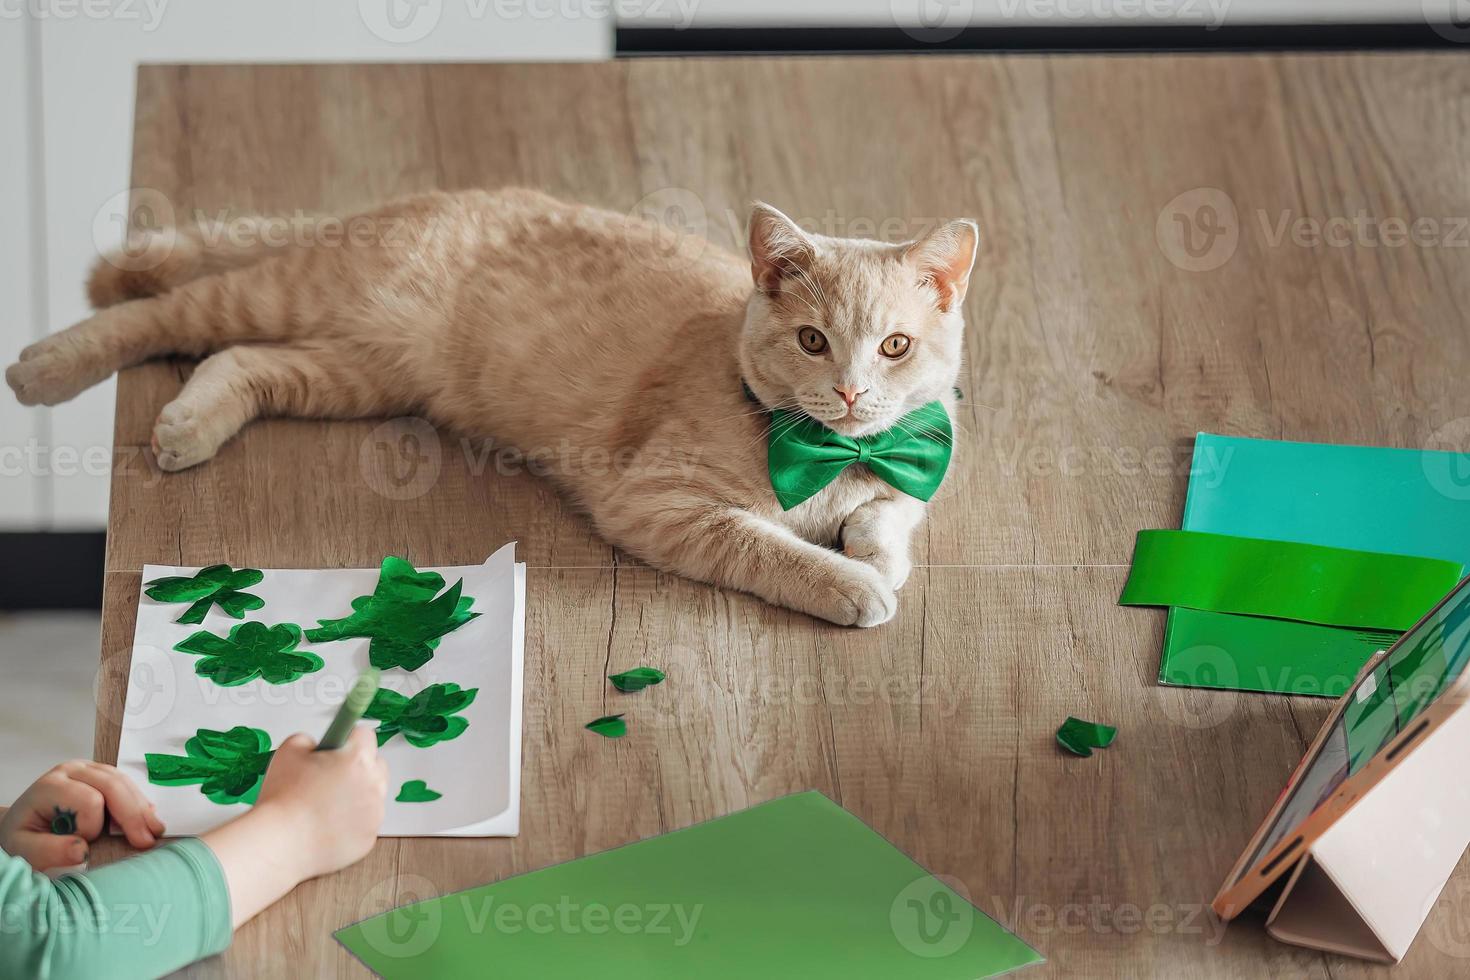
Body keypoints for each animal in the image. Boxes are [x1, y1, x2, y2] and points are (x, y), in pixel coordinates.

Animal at [11, 188, 981, 625]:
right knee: (162, 314)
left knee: (234, 359)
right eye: (814, 341)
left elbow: (891, 511)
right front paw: (851, 583)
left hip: (358, 370)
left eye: (894, 347)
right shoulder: (659, 505)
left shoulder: (912, 467)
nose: (851, 390)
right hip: (292, 301)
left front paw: (875, 551)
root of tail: (434, 197)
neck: (826, 453)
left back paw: (188, 423)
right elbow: (770, 545)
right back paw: (46, 367)